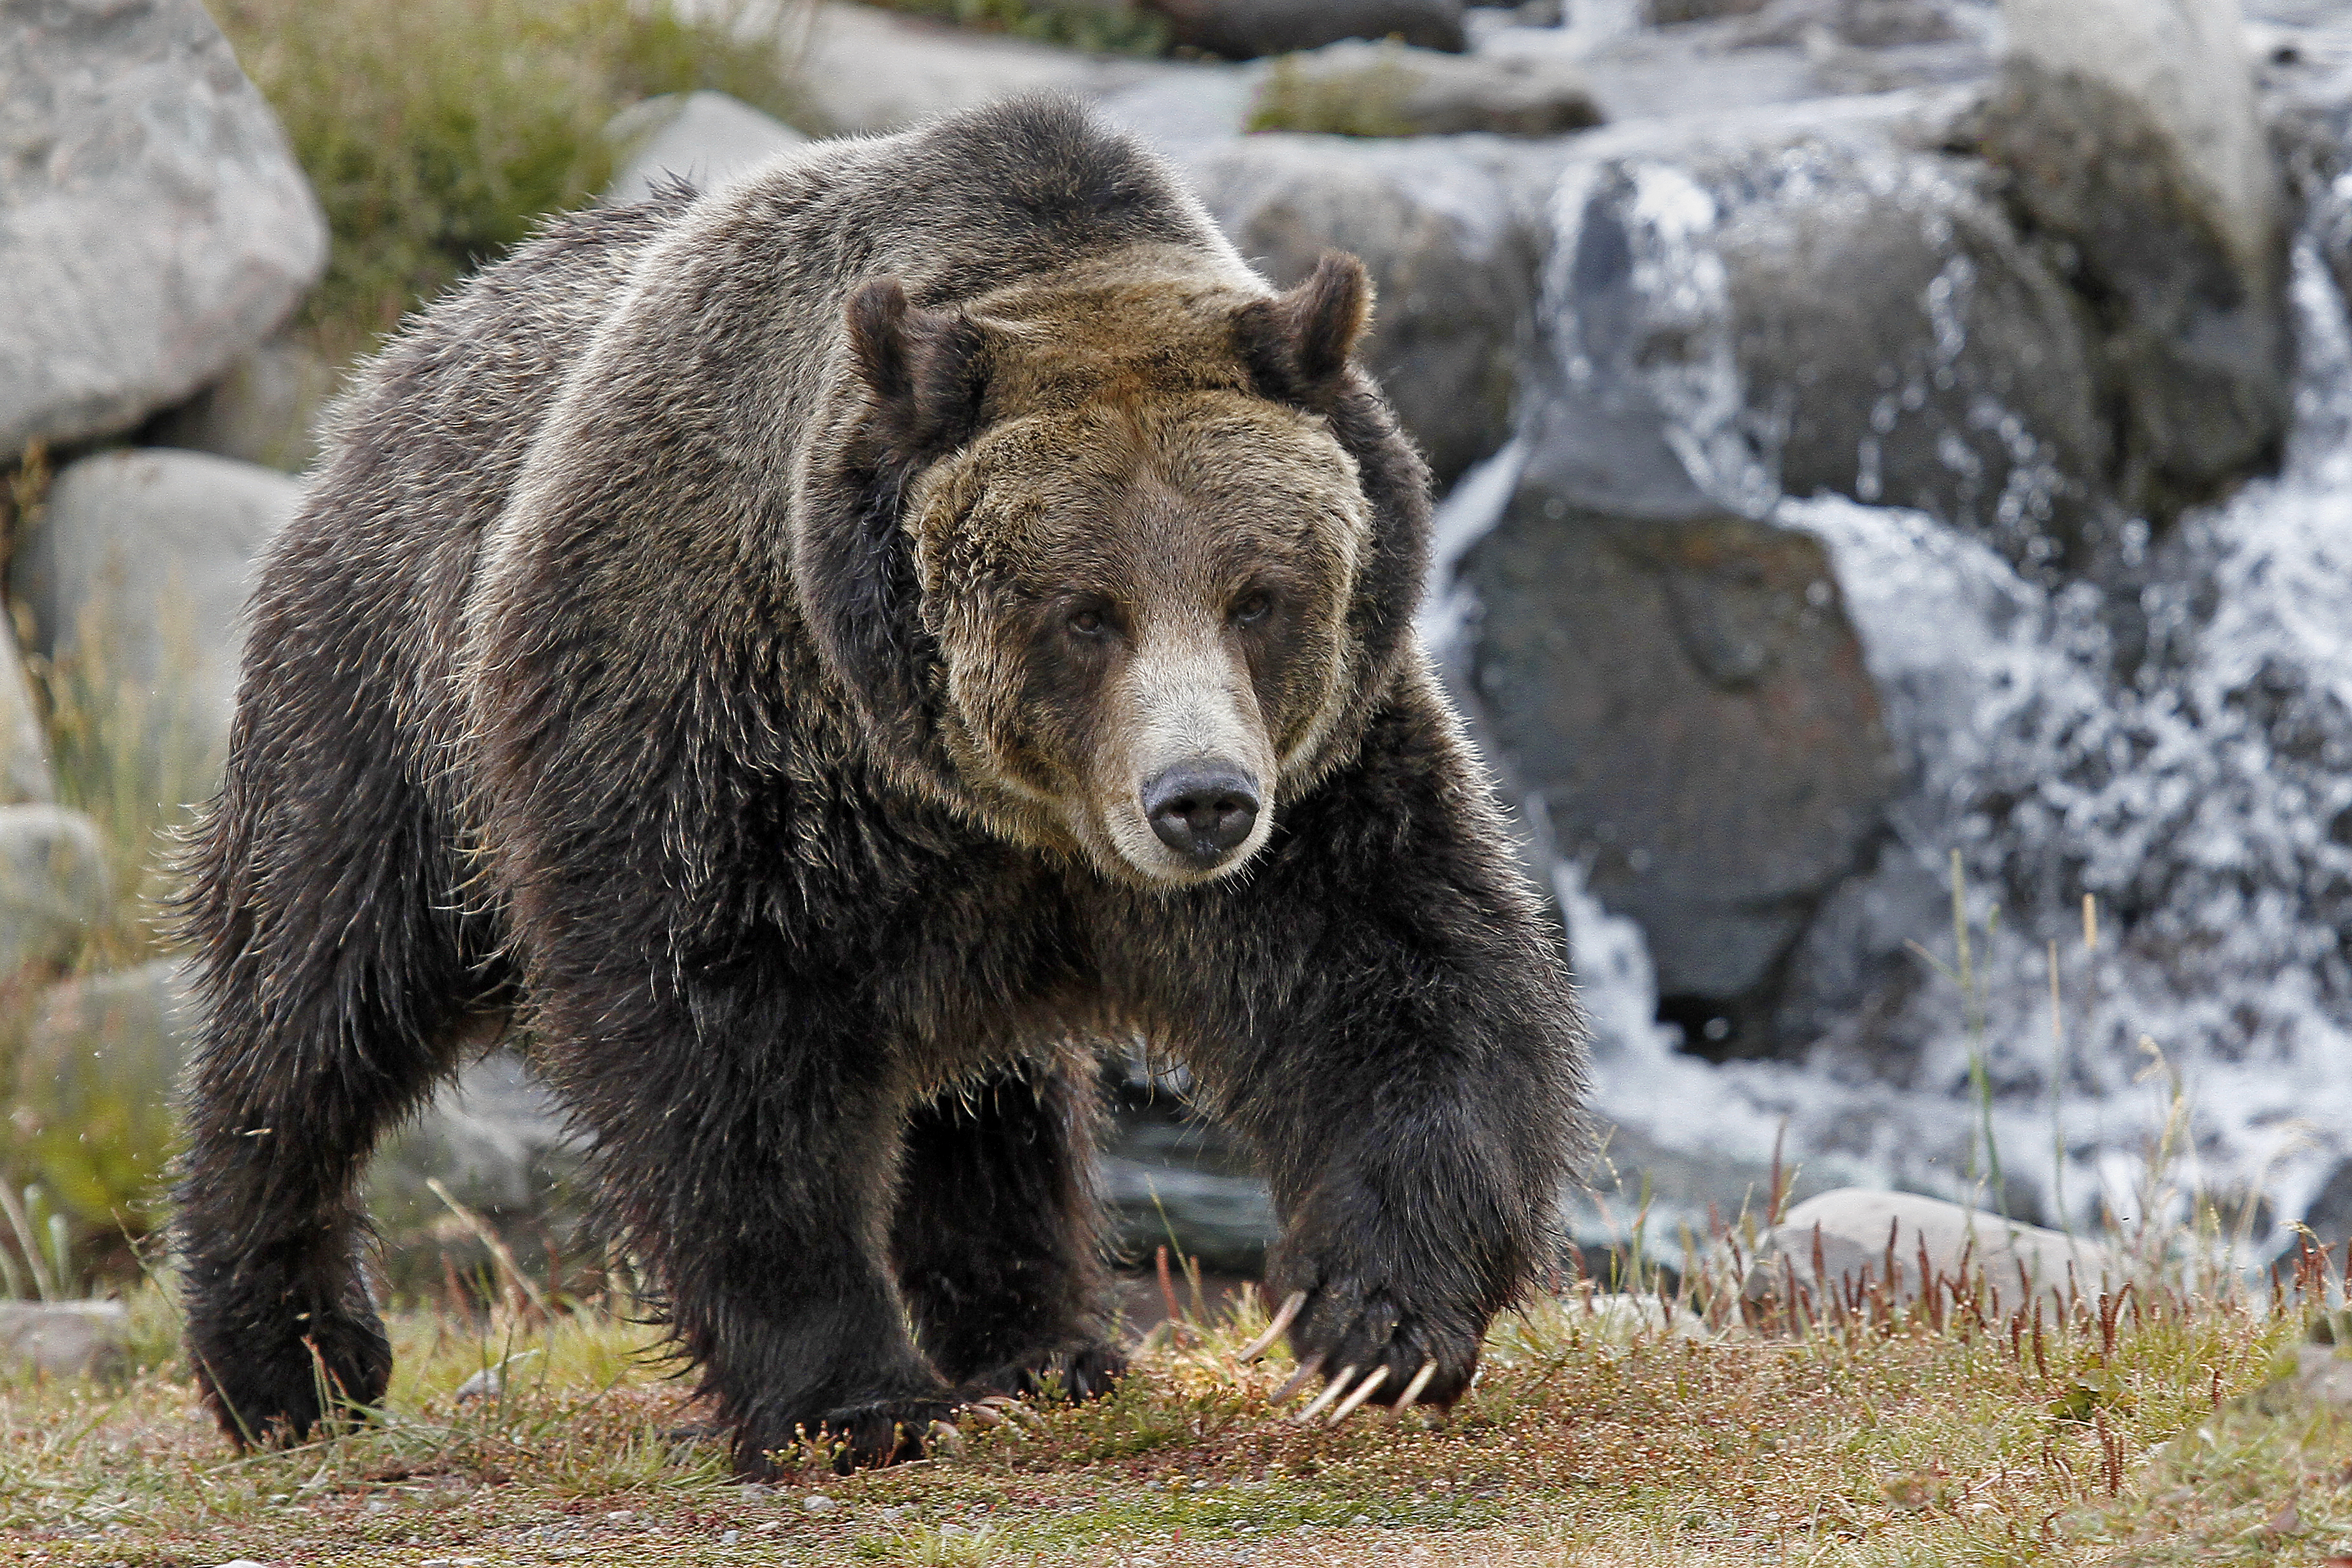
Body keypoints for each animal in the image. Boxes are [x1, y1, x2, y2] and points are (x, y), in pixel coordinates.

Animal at [172, 96, 1588, 1476]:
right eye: (1087, 613)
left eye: (1259, 596)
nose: (1200, 802)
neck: (976, 797)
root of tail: (412, 352)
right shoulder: (711, 739)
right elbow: (721, 1055)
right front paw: (847, 1398)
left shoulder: (1318, 782)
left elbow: (1401, 980)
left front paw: (1374, 1322)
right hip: (391, 708)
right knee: (319, 1005)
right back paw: (290, 1356)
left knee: (988, 1104)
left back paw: (1045, 1346)